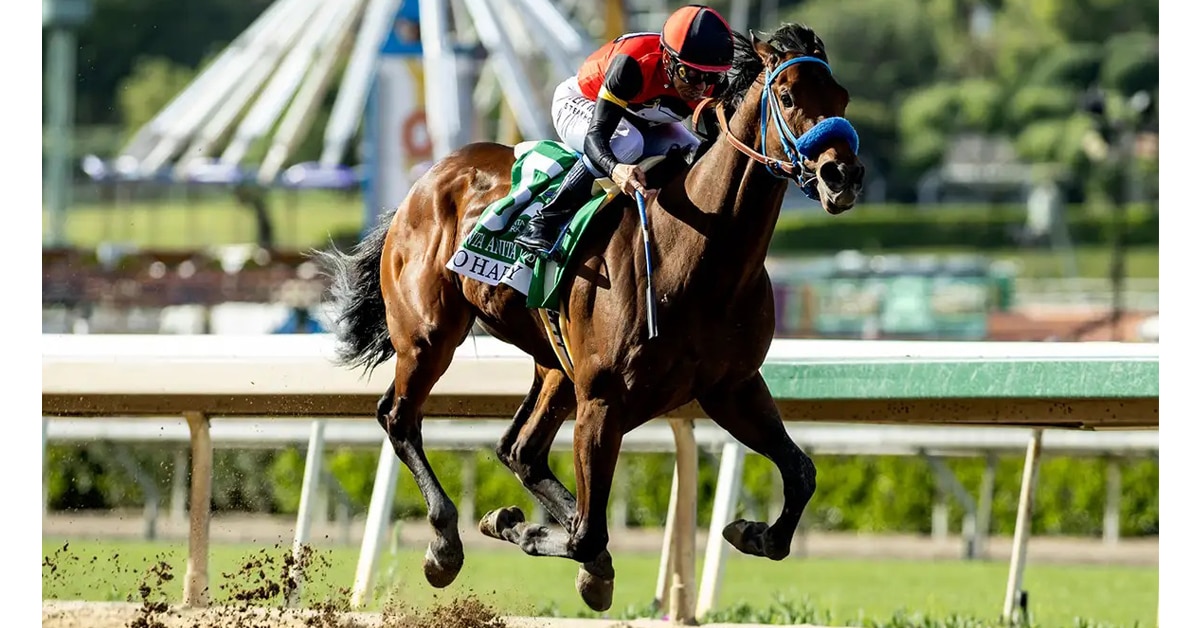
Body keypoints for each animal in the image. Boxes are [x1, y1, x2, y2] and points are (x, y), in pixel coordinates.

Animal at [316, 22, 864, 612]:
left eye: (842, 98)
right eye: (786, 97)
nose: (842, 174)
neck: (698, 252)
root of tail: (429, 178)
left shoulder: (732, 387)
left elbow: (801, 474)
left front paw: (752, 532)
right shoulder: (603, 399)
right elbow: (586, 533)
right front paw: (516, 527)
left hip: (554, 364)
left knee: (520, 450)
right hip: (429, 336)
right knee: (400, 418)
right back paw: (445, 544)